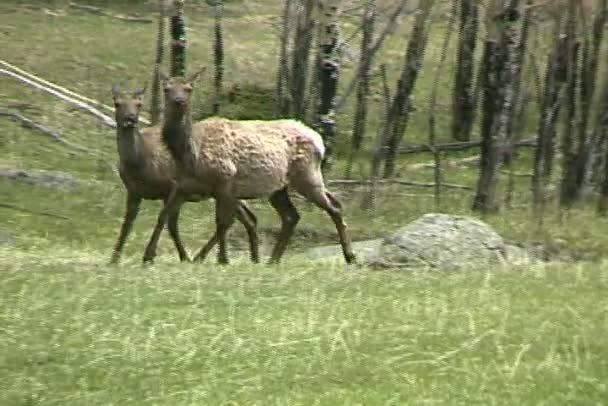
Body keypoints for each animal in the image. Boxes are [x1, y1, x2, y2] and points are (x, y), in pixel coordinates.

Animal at [110, 85, 260, 264]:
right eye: (117, 104)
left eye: (139, 104)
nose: (130, 118)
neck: (139, 163)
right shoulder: (133, 191)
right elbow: (127, 223)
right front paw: (114, 258)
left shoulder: (172, 187)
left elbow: (169, 222)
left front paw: (175, 256)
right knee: (247, 218)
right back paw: (252, 256)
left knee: (239, 219)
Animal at [140, 71, 354, 264]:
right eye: (166, 88)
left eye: (188, 88)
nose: (178, 101)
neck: (190, 154)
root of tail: (320, 141)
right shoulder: (183, 186)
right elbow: (163, 216)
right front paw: (148, 256)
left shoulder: (225, 182)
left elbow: (222, 222)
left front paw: (220, 259)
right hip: (279, 188)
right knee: (292, 215)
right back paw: (273, 260)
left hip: (306, 177)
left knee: (334, 207)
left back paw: (350, 256)